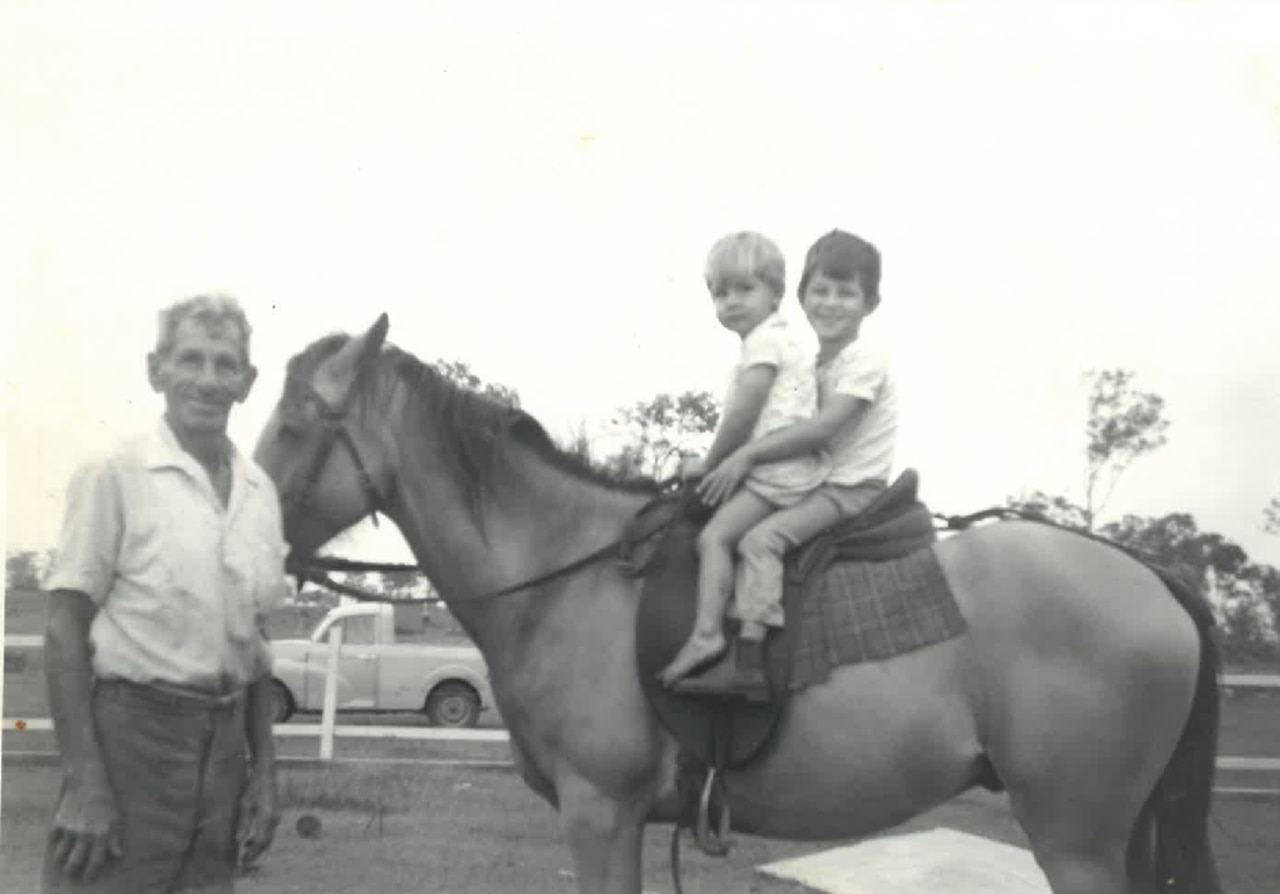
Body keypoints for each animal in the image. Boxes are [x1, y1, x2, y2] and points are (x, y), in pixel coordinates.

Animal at [252, 315, 1218, 891]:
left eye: (294, 425)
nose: (251, 542)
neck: (568, 576)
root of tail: (1151, 576)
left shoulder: (600, 812)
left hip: (1076, 838)